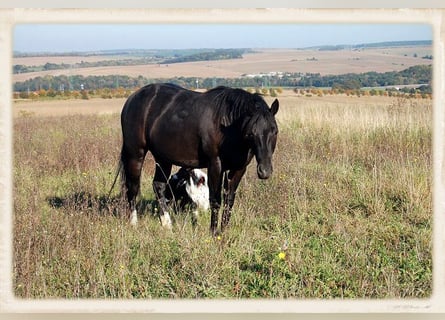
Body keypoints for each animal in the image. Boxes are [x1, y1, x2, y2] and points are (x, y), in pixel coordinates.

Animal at [118, 83, 278, 235]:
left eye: (274, 131)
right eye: (251, 133)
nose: (264, 171)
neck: (228, 125)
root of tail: (132, 98)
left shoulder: (238, 169)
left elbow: (229, 201)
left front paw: (224, 232)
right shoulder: (215, 165)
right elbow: (216, 201)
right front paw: (213, 233)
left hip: (163, 158)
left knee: (158, 186)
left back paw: (167, 225)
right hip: (136, 154)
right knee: (132, 187)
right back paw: (133, 223)